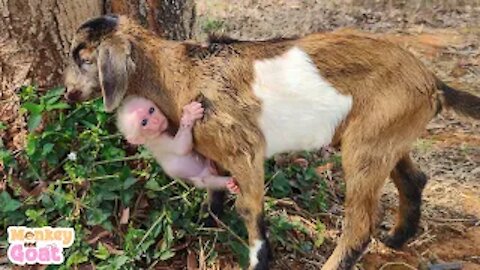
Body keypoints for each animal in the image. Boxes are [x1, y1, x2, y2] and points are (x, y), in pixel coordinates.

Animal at [63, 15, 480, 270]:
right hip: (385, 133)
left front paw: (258, 259)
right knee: (413, 178)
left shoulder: (245, 148)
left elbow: (251, 210)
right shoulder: (217, 152)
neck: (181, 72)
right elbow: (216, 193)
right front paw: (208, 224)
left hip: (367, 144)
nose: (67, 93)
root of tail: (432, 82)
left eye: (84, 57)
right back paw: (396, 238)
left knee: (360, 224)